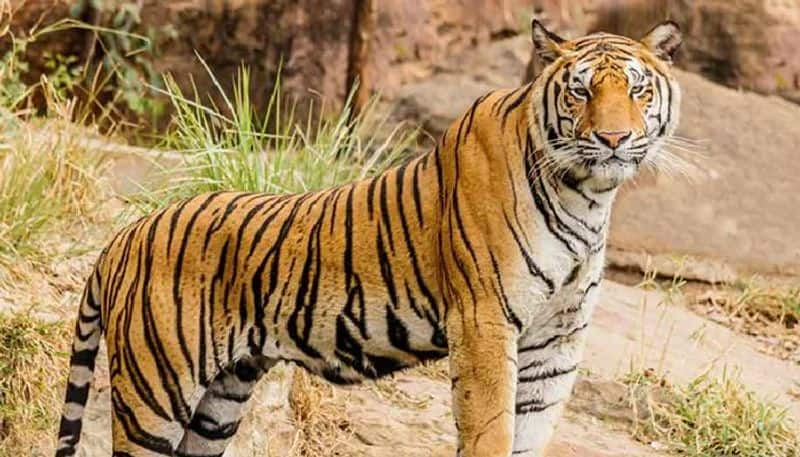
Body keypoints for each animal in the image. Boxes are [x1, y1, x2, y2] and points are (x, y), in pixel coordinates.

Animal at [56, 18, 680, 456]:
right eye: (580, 92)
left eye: (638, 91)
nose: (614, 139)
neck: (588, 196)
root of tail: (125, 236)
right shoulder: (483, 321)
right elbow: (492, 430)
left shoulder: (557, 341)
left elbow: (531, 432)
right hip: (156, 390)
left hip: (220, 399)